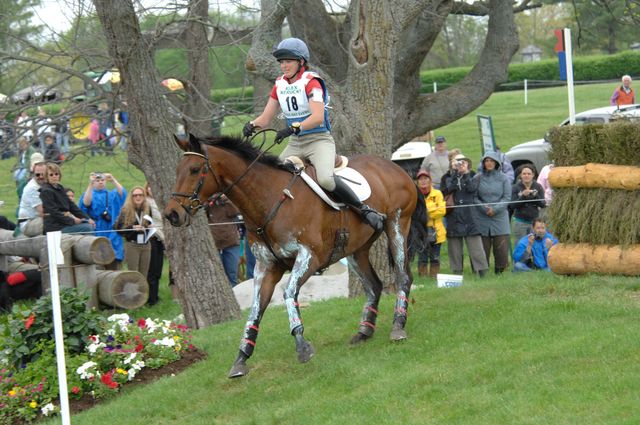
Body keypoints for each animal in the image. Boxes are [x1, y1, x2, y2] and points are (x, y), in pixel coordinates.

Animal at [164, 133, 424, 378]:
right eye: (176, 171)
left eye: (195, 170)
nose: (171, 214)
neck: (268, 200)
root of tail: (394, 166)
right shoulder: (266, 267)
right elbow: (256, 309)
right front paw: (241, 358)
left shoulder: (309, 257)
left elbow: (289, 293)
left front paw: (301, 345)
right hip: (355, 248)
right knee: (374, 285)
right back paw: (364, 331)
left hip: (397, 225)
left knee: (403, 277)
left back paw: (398, 327)